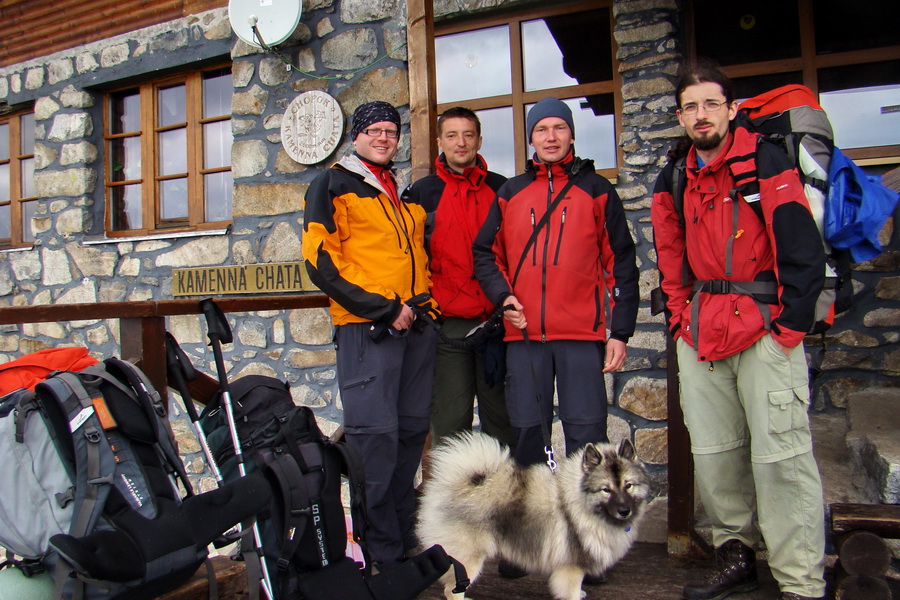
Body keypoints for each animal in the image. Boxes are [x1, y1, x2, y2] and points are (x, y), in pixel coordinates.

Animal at [418, 432, 652, 600]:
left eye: (628, 486)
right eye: (606, 489)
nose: (624, 510)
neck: (580, 502)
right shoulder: (571, 568)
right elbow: (571, 590)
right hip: (469, 559)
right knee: (451, 590)